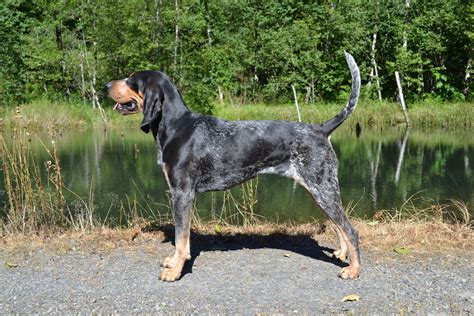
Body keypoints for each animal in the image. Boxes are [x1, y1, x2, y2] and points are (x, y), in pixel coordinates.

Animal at [106, 51, 360, 282]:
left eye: (131, 80)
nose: (107, 84)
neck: (175, 127)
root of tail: (321, 129)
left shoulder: (182, 193)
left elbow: (181, 238)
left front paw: (175, 271)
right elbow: (181, 239)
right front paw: (173, 261)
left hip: (322, 188)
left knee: (351, 229)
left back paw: (353, 270)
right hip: (317, 190)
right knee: (338, 225)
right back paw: (341, 253)